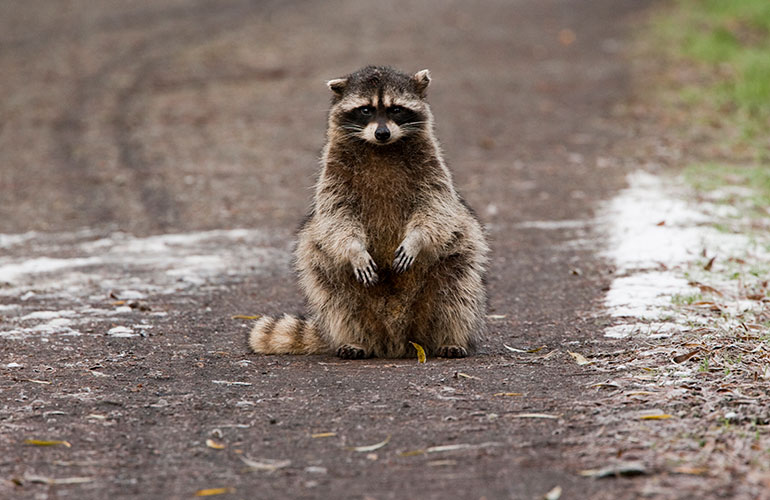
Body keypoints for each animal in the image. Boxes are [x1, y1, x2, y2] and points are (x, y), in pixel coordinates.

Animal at [249, 65, 489, 359]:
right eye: (365, 110)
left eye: (396, 109)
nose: (382, 133)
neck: (381, 148)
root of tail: (397, 342)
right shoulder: (334, 176)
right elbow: (337, 217)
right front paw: (355, 250)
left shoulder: (433, 171)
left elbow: (435, 209)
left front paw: (416, 240)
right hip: (328, 274)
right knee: (334, 291)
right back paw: (355, 340)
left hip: (455, 264)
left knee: (457, 290)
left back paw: (450, 338)